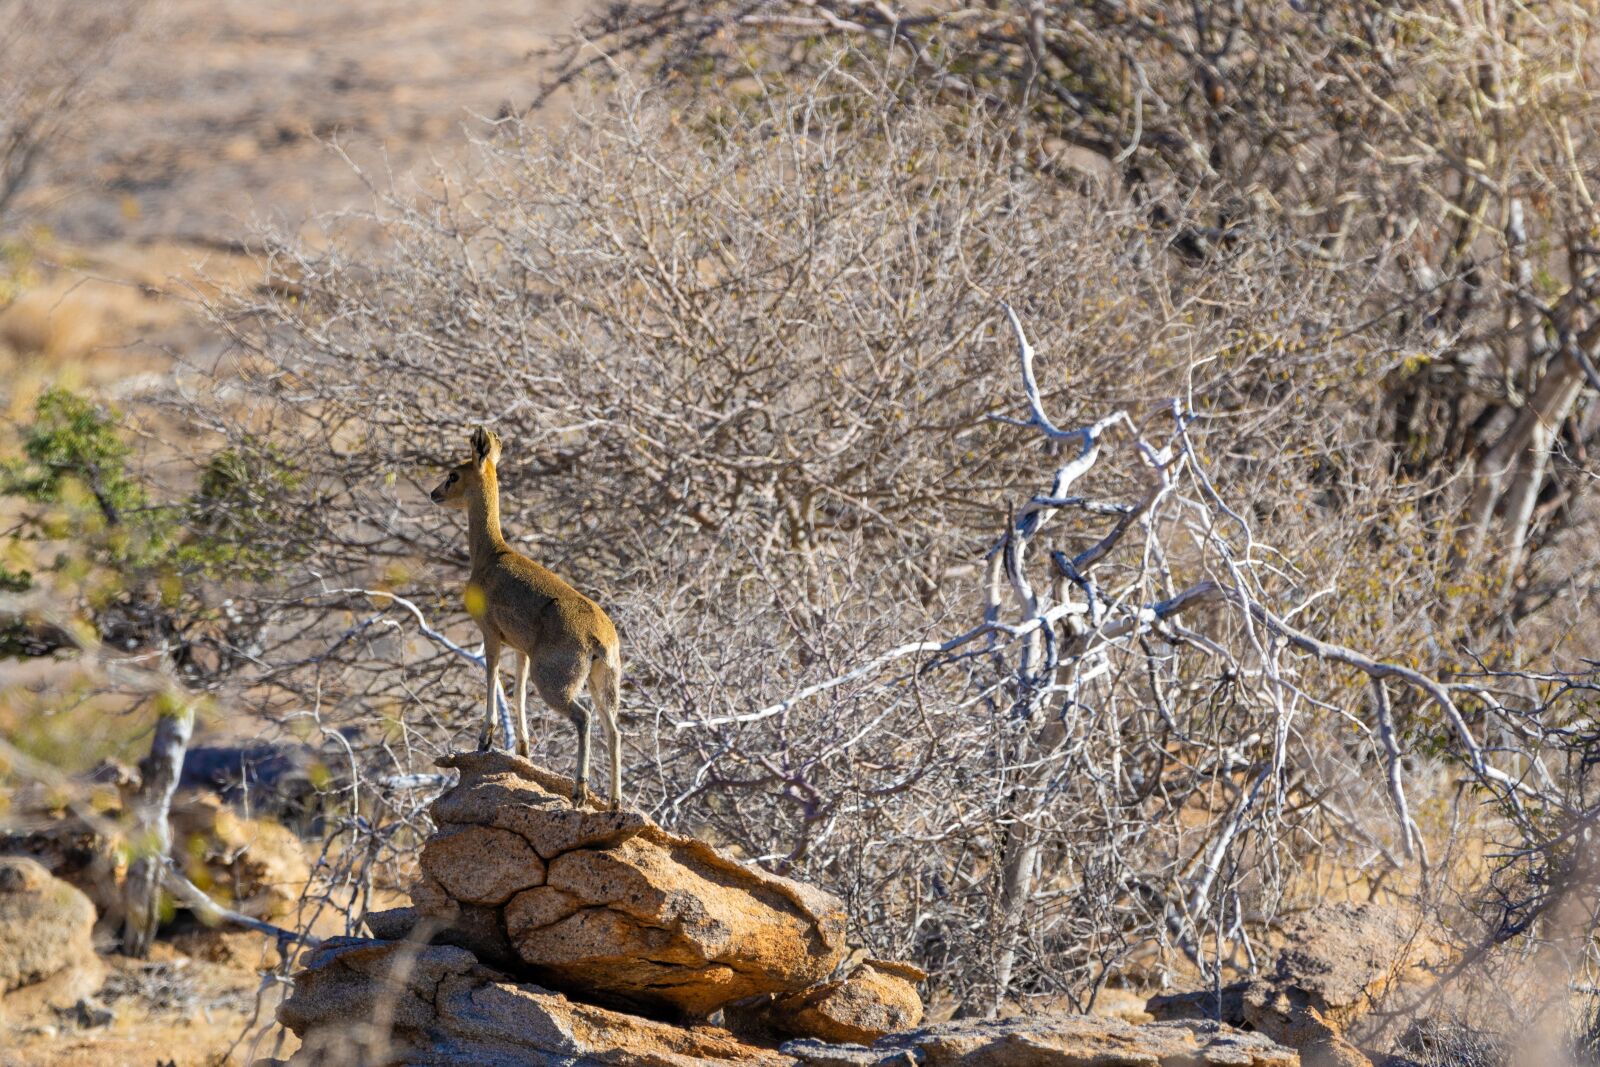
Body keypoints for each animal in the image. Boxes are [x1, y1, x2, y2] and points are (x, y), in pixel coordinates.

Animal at [432, 425, 624, 809]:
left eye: (453, 474)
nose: (434, 493)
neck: (491, 554)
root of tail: (599, 639)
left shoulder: (490, 634)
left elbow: (491, 676)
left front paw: (485, 739)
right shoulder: (521, 649)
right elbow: (518, 690)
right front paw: (522, 749)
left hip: (555, 682)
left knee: (584, 717)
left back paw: (579, 791)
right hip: (603, 683)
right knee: (614, 730)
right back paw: (614, 802)